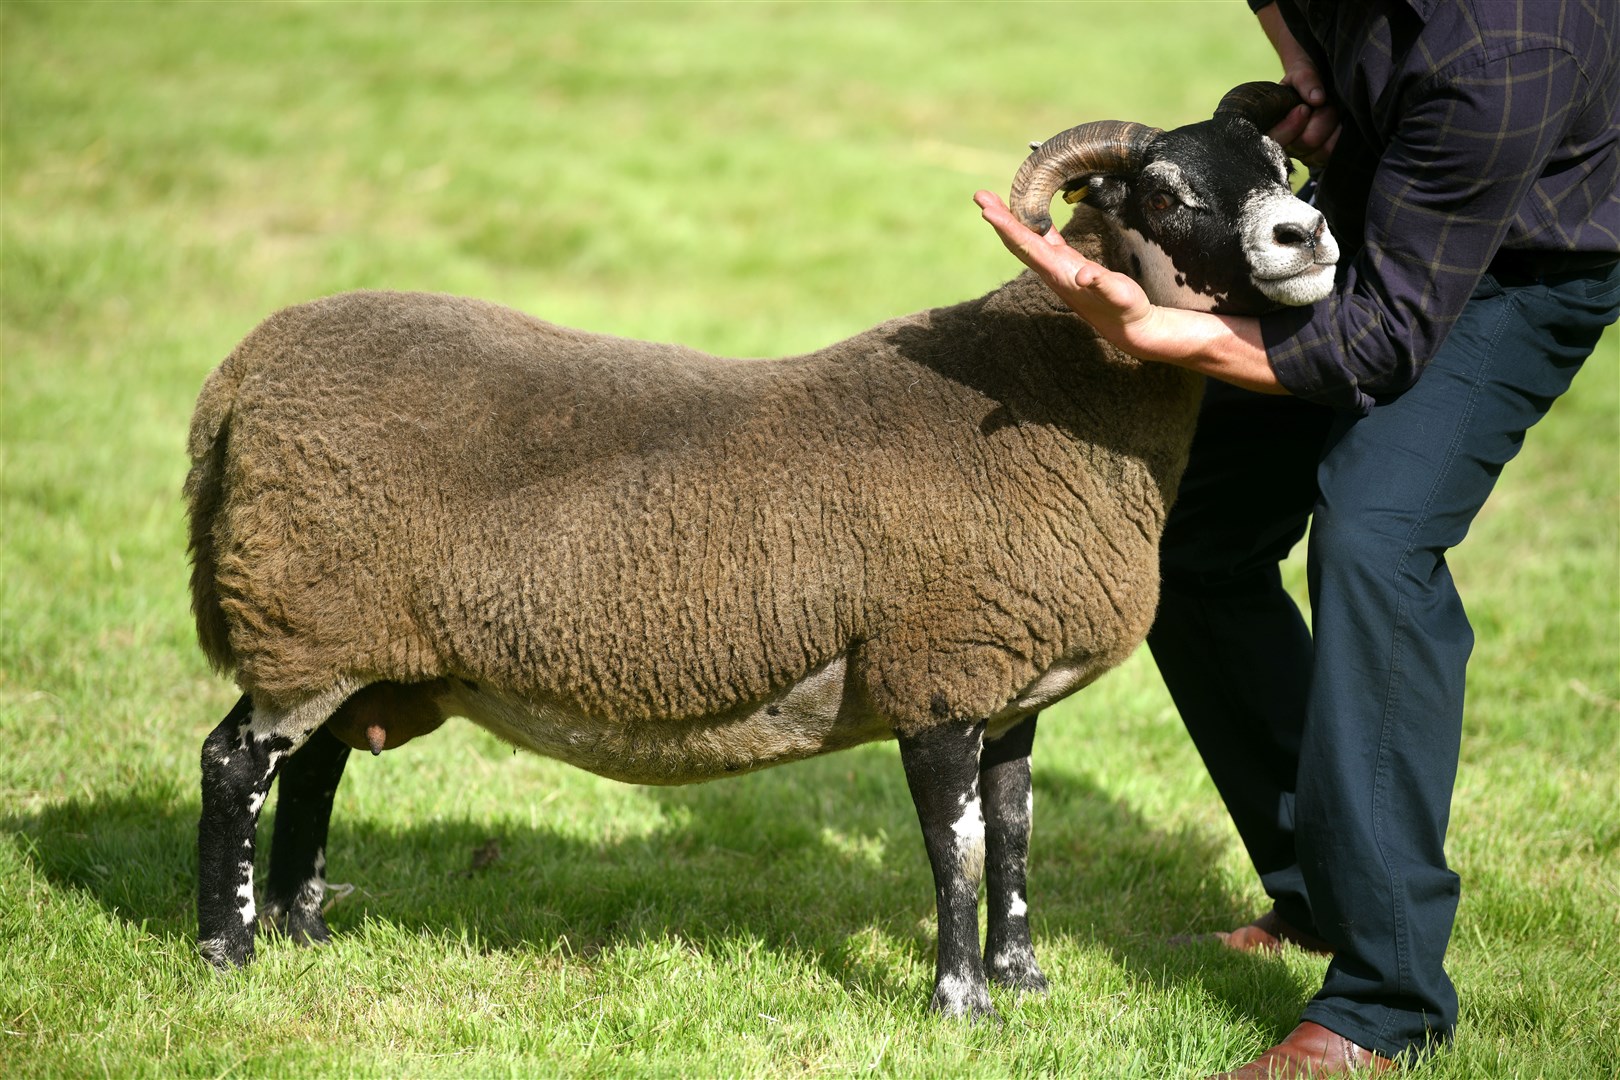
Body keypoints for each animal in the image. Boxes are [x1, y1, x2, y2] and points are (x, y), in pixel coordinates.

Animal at [186, 80, 1341, 1016]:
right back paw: (227, 952)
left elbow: (1013, 837)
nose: (1307, 236)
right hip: (302, 613)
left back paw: (303, 928)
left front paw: (1025, 984)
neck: (1054, 394)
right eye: (1166, 194)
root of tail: (242, 373)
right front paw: (961, 1005)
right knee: (234, 764)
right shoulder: (936, 668)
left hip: (356, 643)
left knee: (316, 765)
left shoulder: (1013, 683)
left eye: (1281, 167)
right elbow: (956, 848)